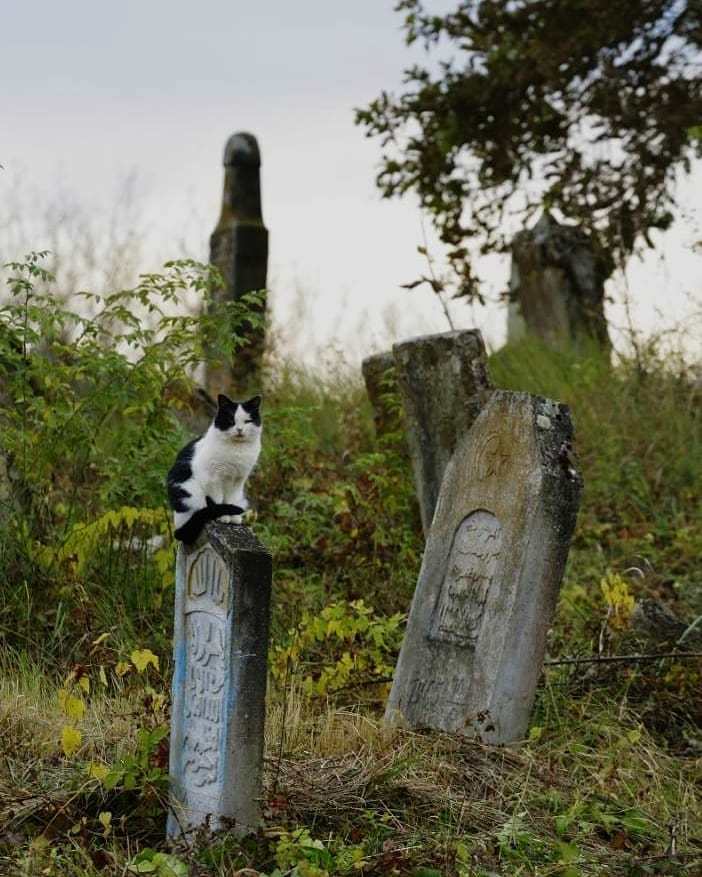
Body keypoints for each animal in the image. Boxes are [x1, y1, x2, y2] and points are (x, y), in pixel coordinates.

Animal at [166, 396, 262, 540]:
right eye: (231, 420)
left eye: (247, 421)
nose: (239, 429)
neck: (237, 450)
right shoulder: (212, 478)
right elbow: (218, 501)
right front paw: (223, 517)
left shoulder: (238, 480)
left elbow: (231, 499)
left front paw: (233, 518)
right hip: (191, 491)